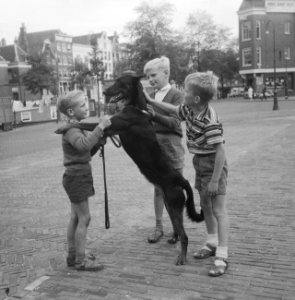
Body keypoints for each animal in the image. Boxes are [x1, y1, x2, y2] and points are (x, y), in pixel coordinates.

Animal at [85, 73, 204, 264]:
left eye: (120, 82)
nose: (103, 91)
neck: (136, 107)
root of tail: (181, 179)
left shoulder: (113, 124)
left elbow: (84, 125)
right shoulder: (110, 131)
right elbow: (94, 135)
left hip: (174, 203)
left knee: (185, 236)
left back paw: (182, 257)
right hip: (170, 204)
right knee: (177, 227)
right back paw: (173, 239)